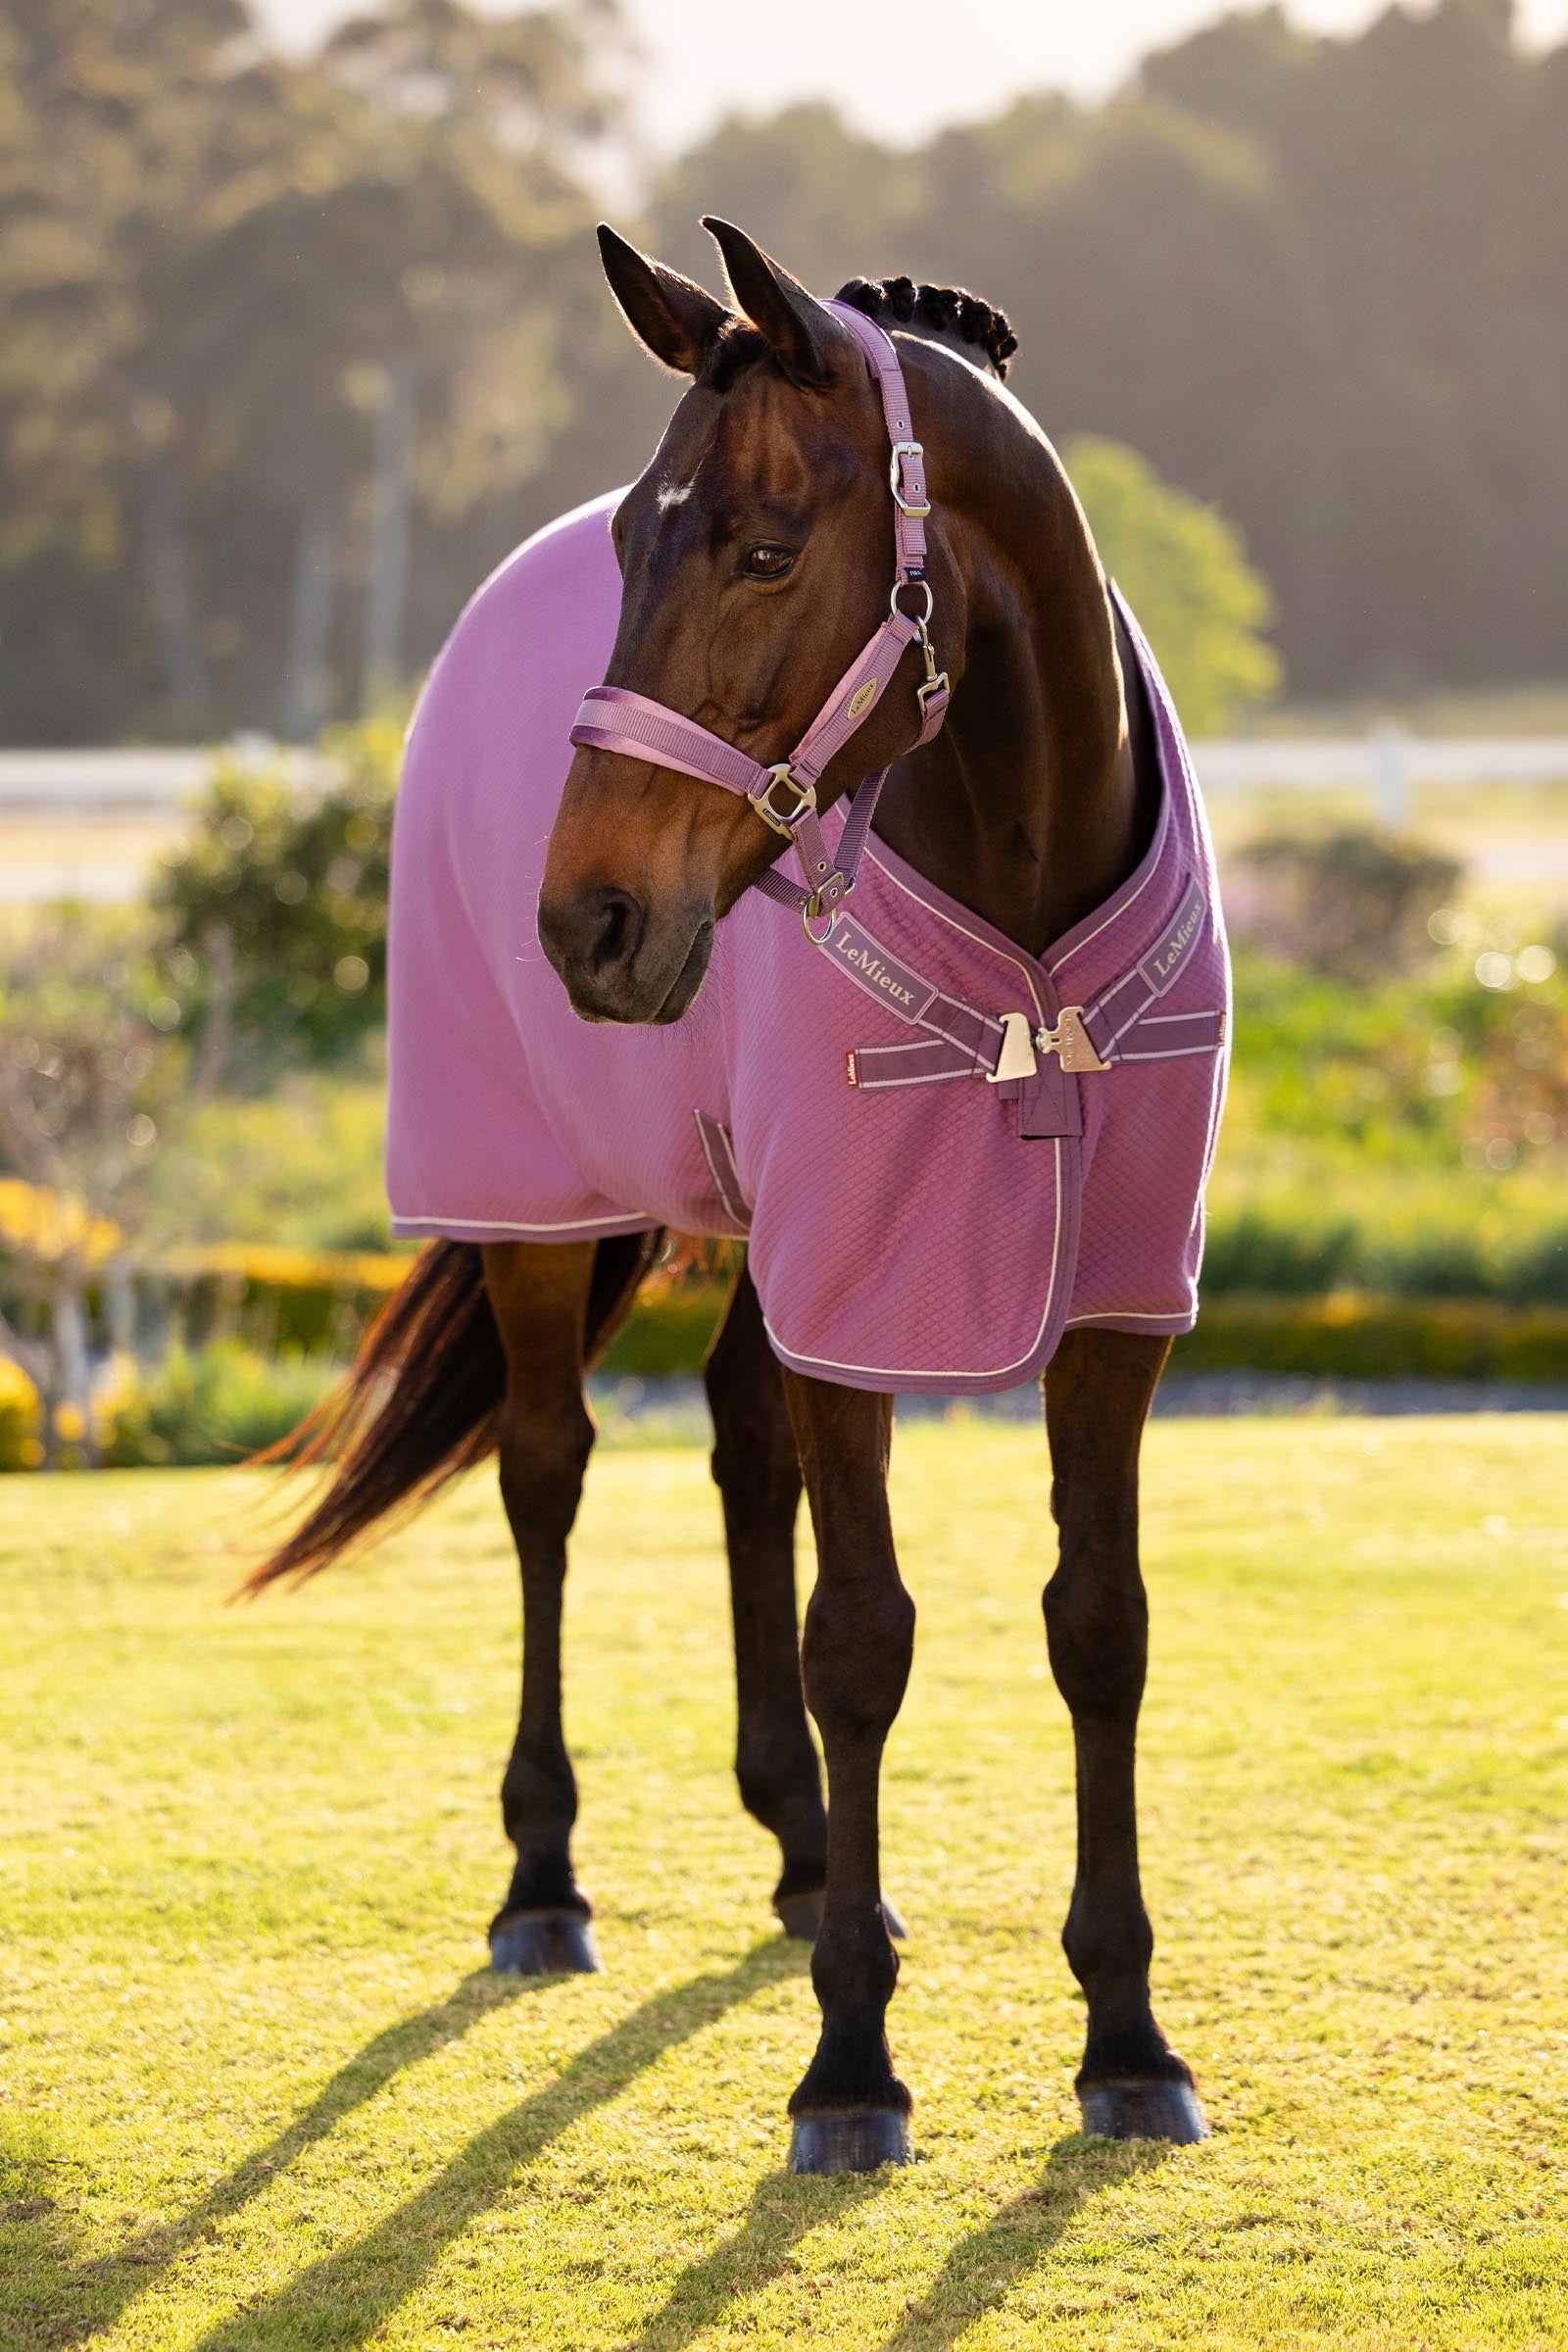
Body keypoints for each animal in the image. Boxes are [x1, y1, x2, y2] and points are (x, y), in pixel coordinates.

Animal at [250, 217, 1230, 2176]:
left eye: (765, 548)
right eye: (638, 542)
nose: (591, 923)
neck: (1024, 896)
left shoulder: (1110, 1316)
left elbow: (1100, 1629)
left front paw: (1126, 2036)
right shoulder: (859, 1295)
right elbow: (863, 1640)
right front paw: (852, 2064)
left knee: (736, 1447)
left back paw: (796, 1850)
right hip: (535, 1212)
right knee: (544, 1474)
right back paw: (546, 1882)